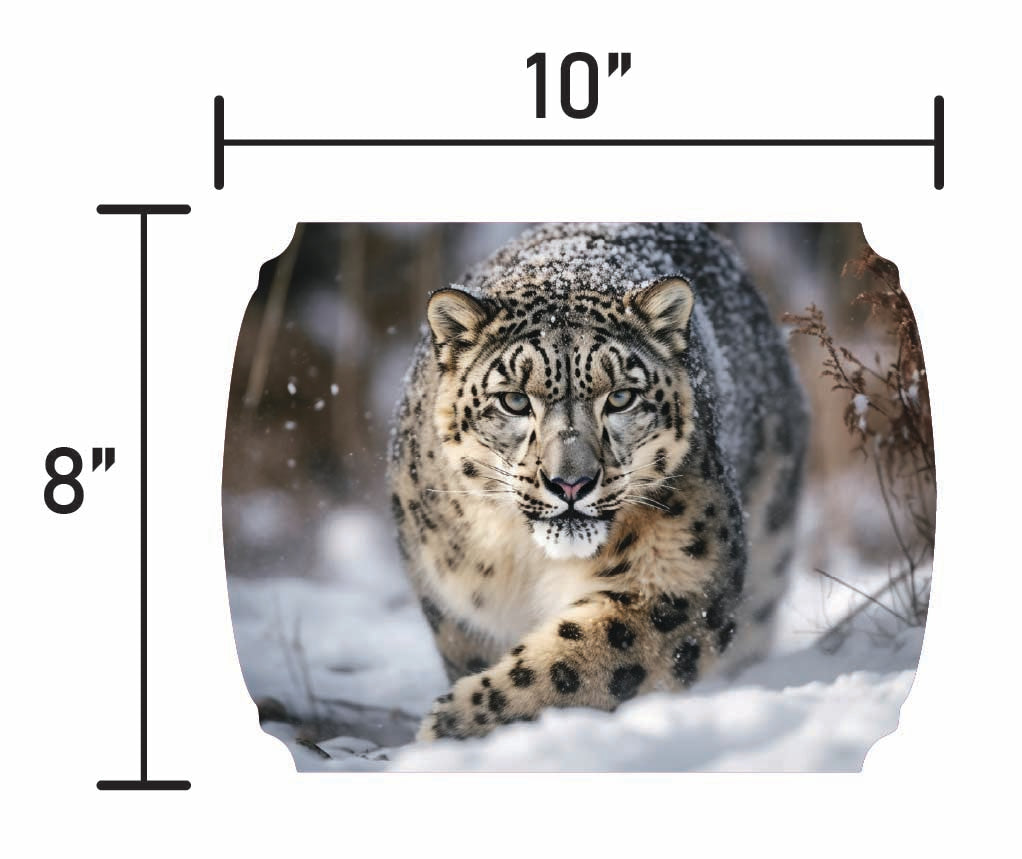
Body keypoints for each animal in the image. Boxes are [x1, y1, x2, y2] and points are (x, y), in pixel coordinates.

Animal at [387, 223, 809, 741]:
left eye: (621, 397)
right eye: (514, 400)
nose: (571, 483)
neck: (528, 563)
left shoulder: (677, 578)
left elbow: (579, 663)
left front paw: (455, 723)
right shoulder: (455, 603)